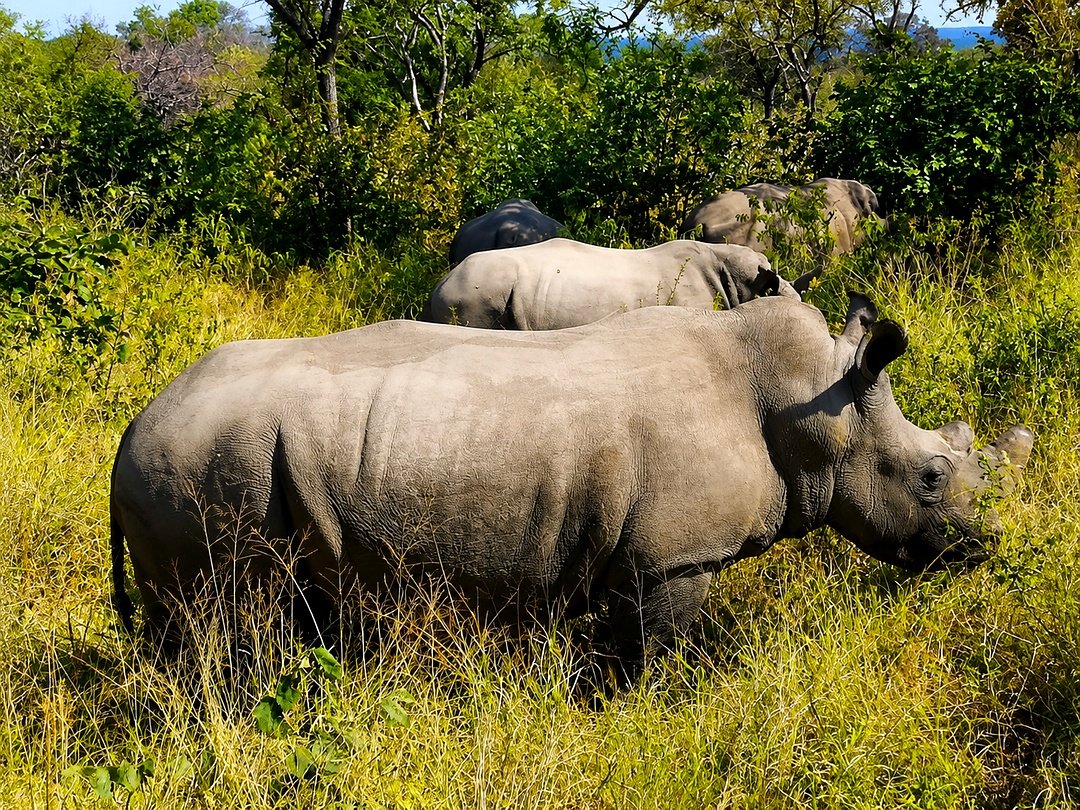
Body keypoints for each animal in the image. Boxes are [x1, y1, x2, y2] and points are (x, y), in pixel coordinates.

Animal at [111, 293, 1032, 683]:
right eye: (930, 477)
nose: (982, 548)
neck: (817, 406)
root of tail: (131, 430)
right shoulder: (674, 559)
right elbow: (656, 658)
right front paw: (655, 715)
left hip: (222, 459)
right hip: (205, 464)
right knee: (234, 624)